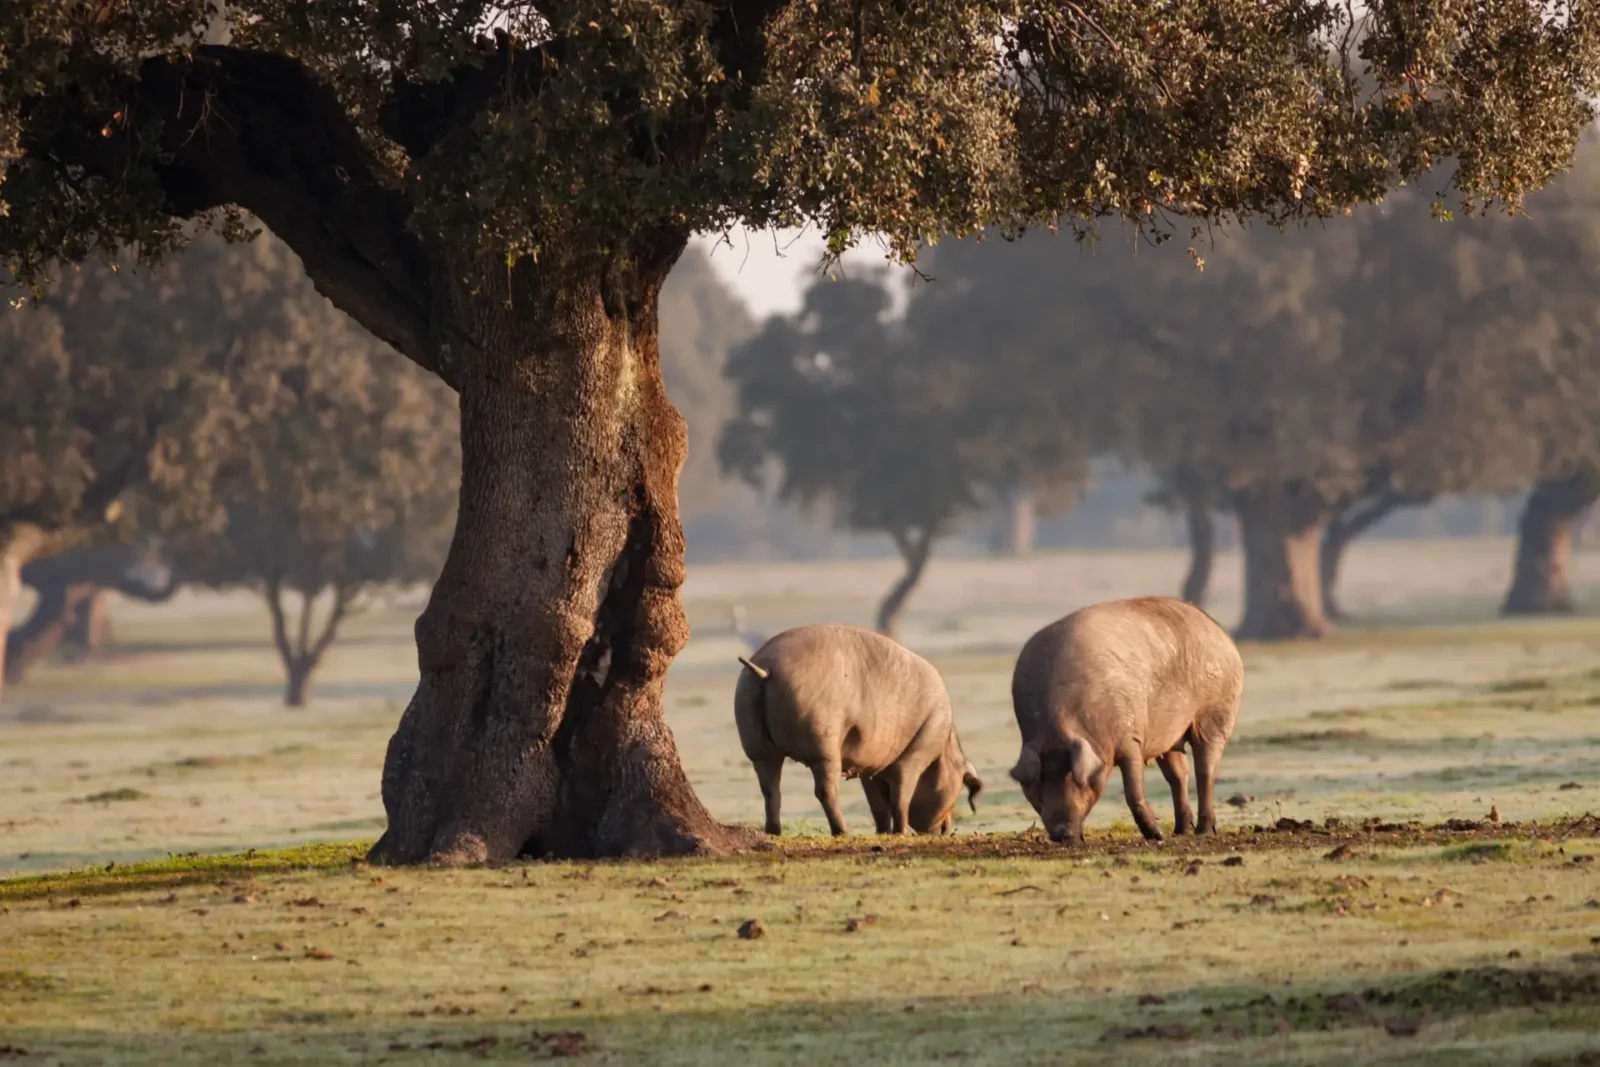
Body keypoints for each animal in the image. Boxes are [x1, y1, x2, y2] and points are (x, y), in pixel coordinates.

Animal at [733, 623, 983, 836]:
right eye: (958, 785)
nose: (947, 829)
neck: (942, 750)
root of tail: (766, 669)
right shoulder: (915, 754)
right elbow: (901, 796)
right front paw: (900, 834)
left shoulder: (869, 768)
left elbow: (878, 803)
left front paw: (883, 833)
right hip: (822, 745)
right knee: (825, 790)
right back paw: (843, 832)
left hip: (756, 744)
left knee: (770, 790)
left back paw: (773, 832)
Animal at [1007, 596, 1243, 845]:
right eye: (1039, 783)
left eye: (1077, 779)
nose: (1062, 834)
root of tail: (1219, 630)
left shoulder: (1130, 737)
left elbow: (1133, 789)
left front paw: (1156, 836)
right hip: (1169, 737)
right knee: (1178, 775)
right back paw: (1180, 832)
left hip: (1217, 711)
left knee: (1205, 770)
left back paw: (1204, 832)